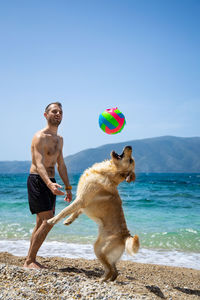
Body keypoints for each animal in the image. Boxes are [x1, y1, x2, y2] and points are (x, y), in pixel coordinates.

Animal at [48, 146, 139, 282]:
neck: (107, 174)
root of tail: (125, 235)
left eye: (131, 160)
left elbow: (65, 210)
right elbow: (75, 212)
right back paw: (108, 279)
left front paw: (52, 220)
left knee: (110, 269)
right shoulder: (82, 202)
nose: (130, 146)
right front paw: (68, 221)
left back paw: (101, 280)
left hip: (99, 250)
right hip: (101, 250)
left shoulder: (81, 199)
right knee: (115, 270)